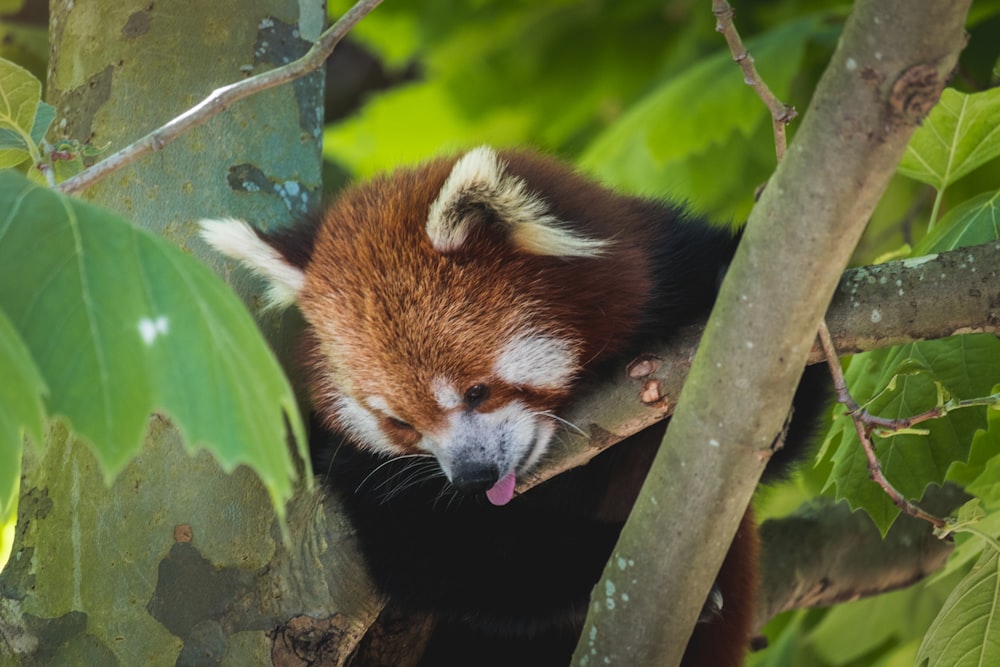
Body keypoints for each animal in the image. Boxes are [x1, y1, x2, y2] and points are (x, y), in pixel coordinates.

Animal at [199, 147, 824, 667]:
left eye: (476, 392)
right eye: (399, 423)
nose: (472, 477)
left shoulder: (669, 268)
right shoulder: (350, 464)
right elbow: (439, 552)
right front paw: (608, 561)